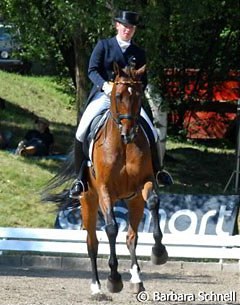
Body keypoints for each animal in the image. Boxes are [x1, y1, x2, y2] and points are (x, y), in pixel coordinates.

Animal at [42, 63, 168, 298]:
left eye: (139, 96)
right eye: (118, 96)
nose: (129, 133)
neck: (123, 145)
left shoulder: (145, 182)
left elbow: (154, 202)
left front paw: (159, 251)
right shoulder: (104, 190)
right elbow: (110, 228)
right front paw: (114, 279)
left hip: (134, 200)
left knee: (131, 237)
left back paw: (137, 280)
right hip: (88, 201)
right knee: (92, 243)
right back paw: (97, 288)